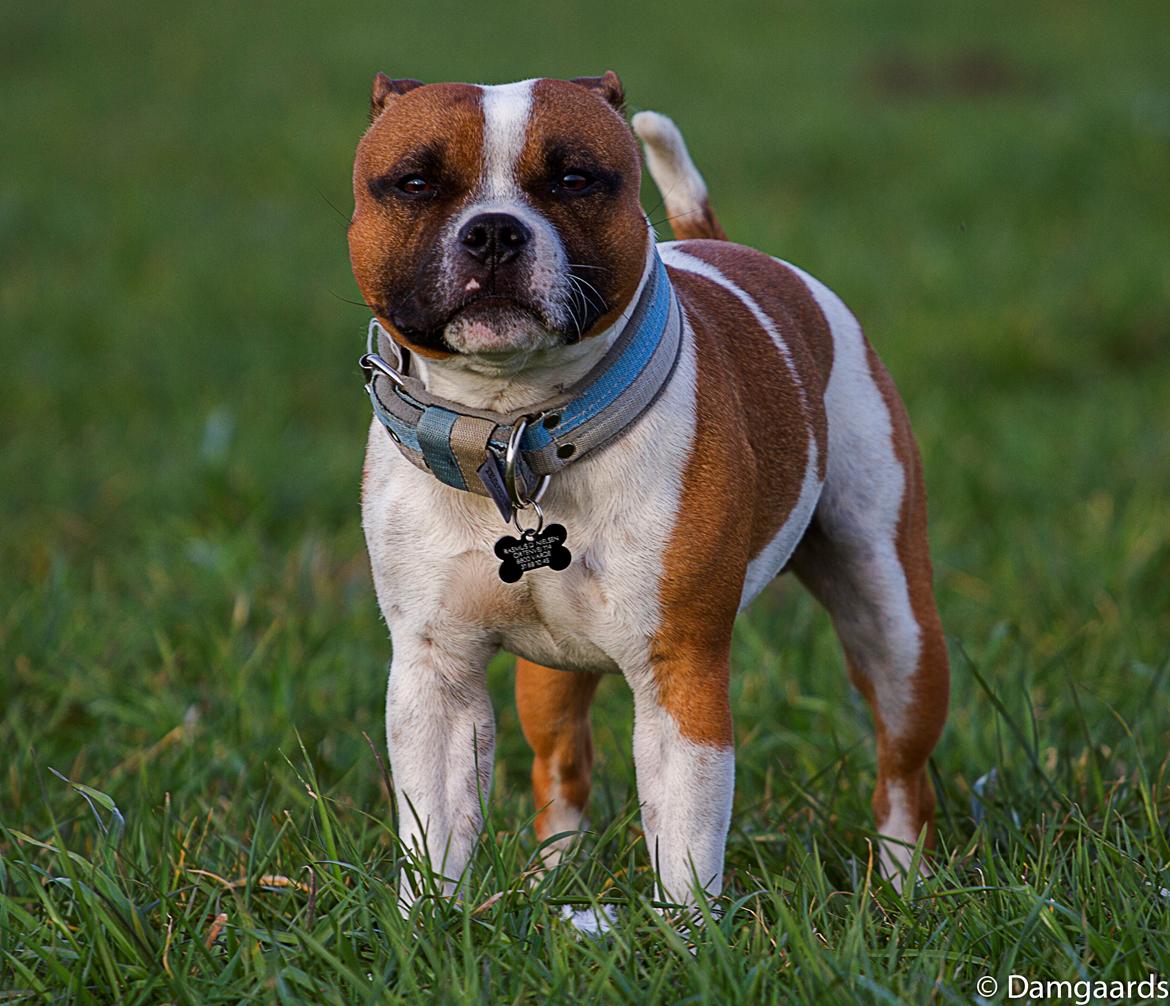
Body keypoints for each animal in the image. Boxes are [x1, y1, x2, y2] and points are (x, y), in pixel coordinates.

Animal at [346, 70, 950, 921]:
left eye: (574, 179)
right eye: (415, 183)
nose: (493, 232)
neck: (517, 430)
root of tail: (720, 240)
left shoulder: (679, 673)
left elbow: (686, 835)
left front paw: (687, 937)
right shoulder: (437, 675)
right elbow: (434, 830)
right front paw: (427, 929)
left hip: (896, 626)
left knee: (902, 769)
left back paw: (903, 885)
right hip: (550, 683)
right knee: (562, 771)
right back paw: (552, 881)